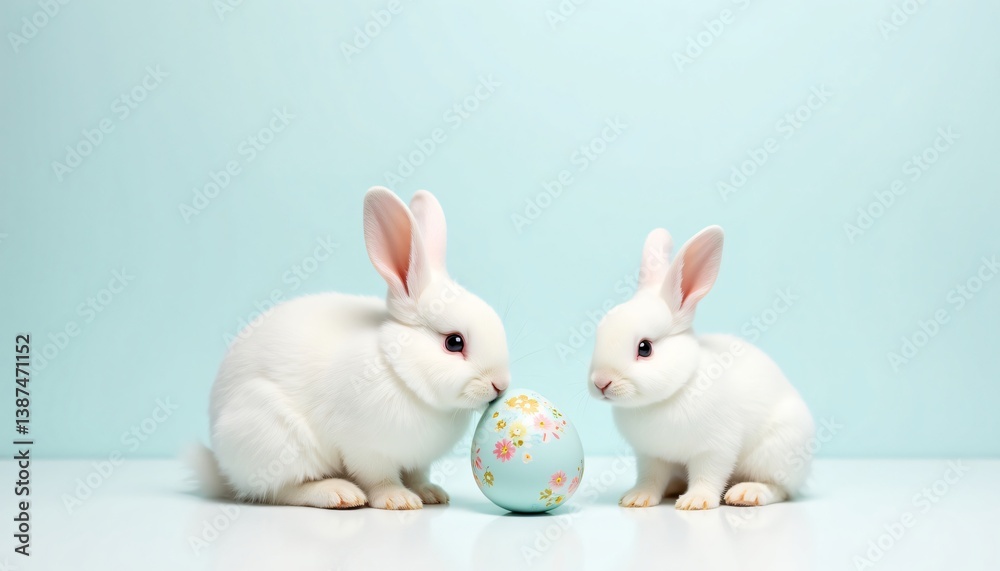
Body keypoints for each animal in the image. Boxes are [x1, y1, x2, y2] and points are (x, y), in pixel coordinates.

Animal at [191, 187, 511, 510]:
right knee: (280, 490)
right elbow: (379, 478)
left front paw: (431, 493)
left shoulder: (418, 460)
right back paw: (339, 494)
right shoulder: (365, 448)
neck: (400, 373)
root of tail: (223, 468)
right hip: (277, 439)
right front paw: (398, 500)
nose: (501, 384)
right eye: (454, 343)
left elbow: (418, 475)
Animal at [588, 226, 815, 510]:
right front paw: (637, 498)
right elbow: (650, 478)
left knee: (780, 489)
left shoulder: (715, 449)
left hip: (776, 452)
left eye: (644, 348)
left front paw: (696, 501)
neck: (671, 394)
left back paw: (746, 494)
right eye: (598, 335)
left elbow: (708, 476)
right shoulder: (650, 455)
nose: (600, 382)